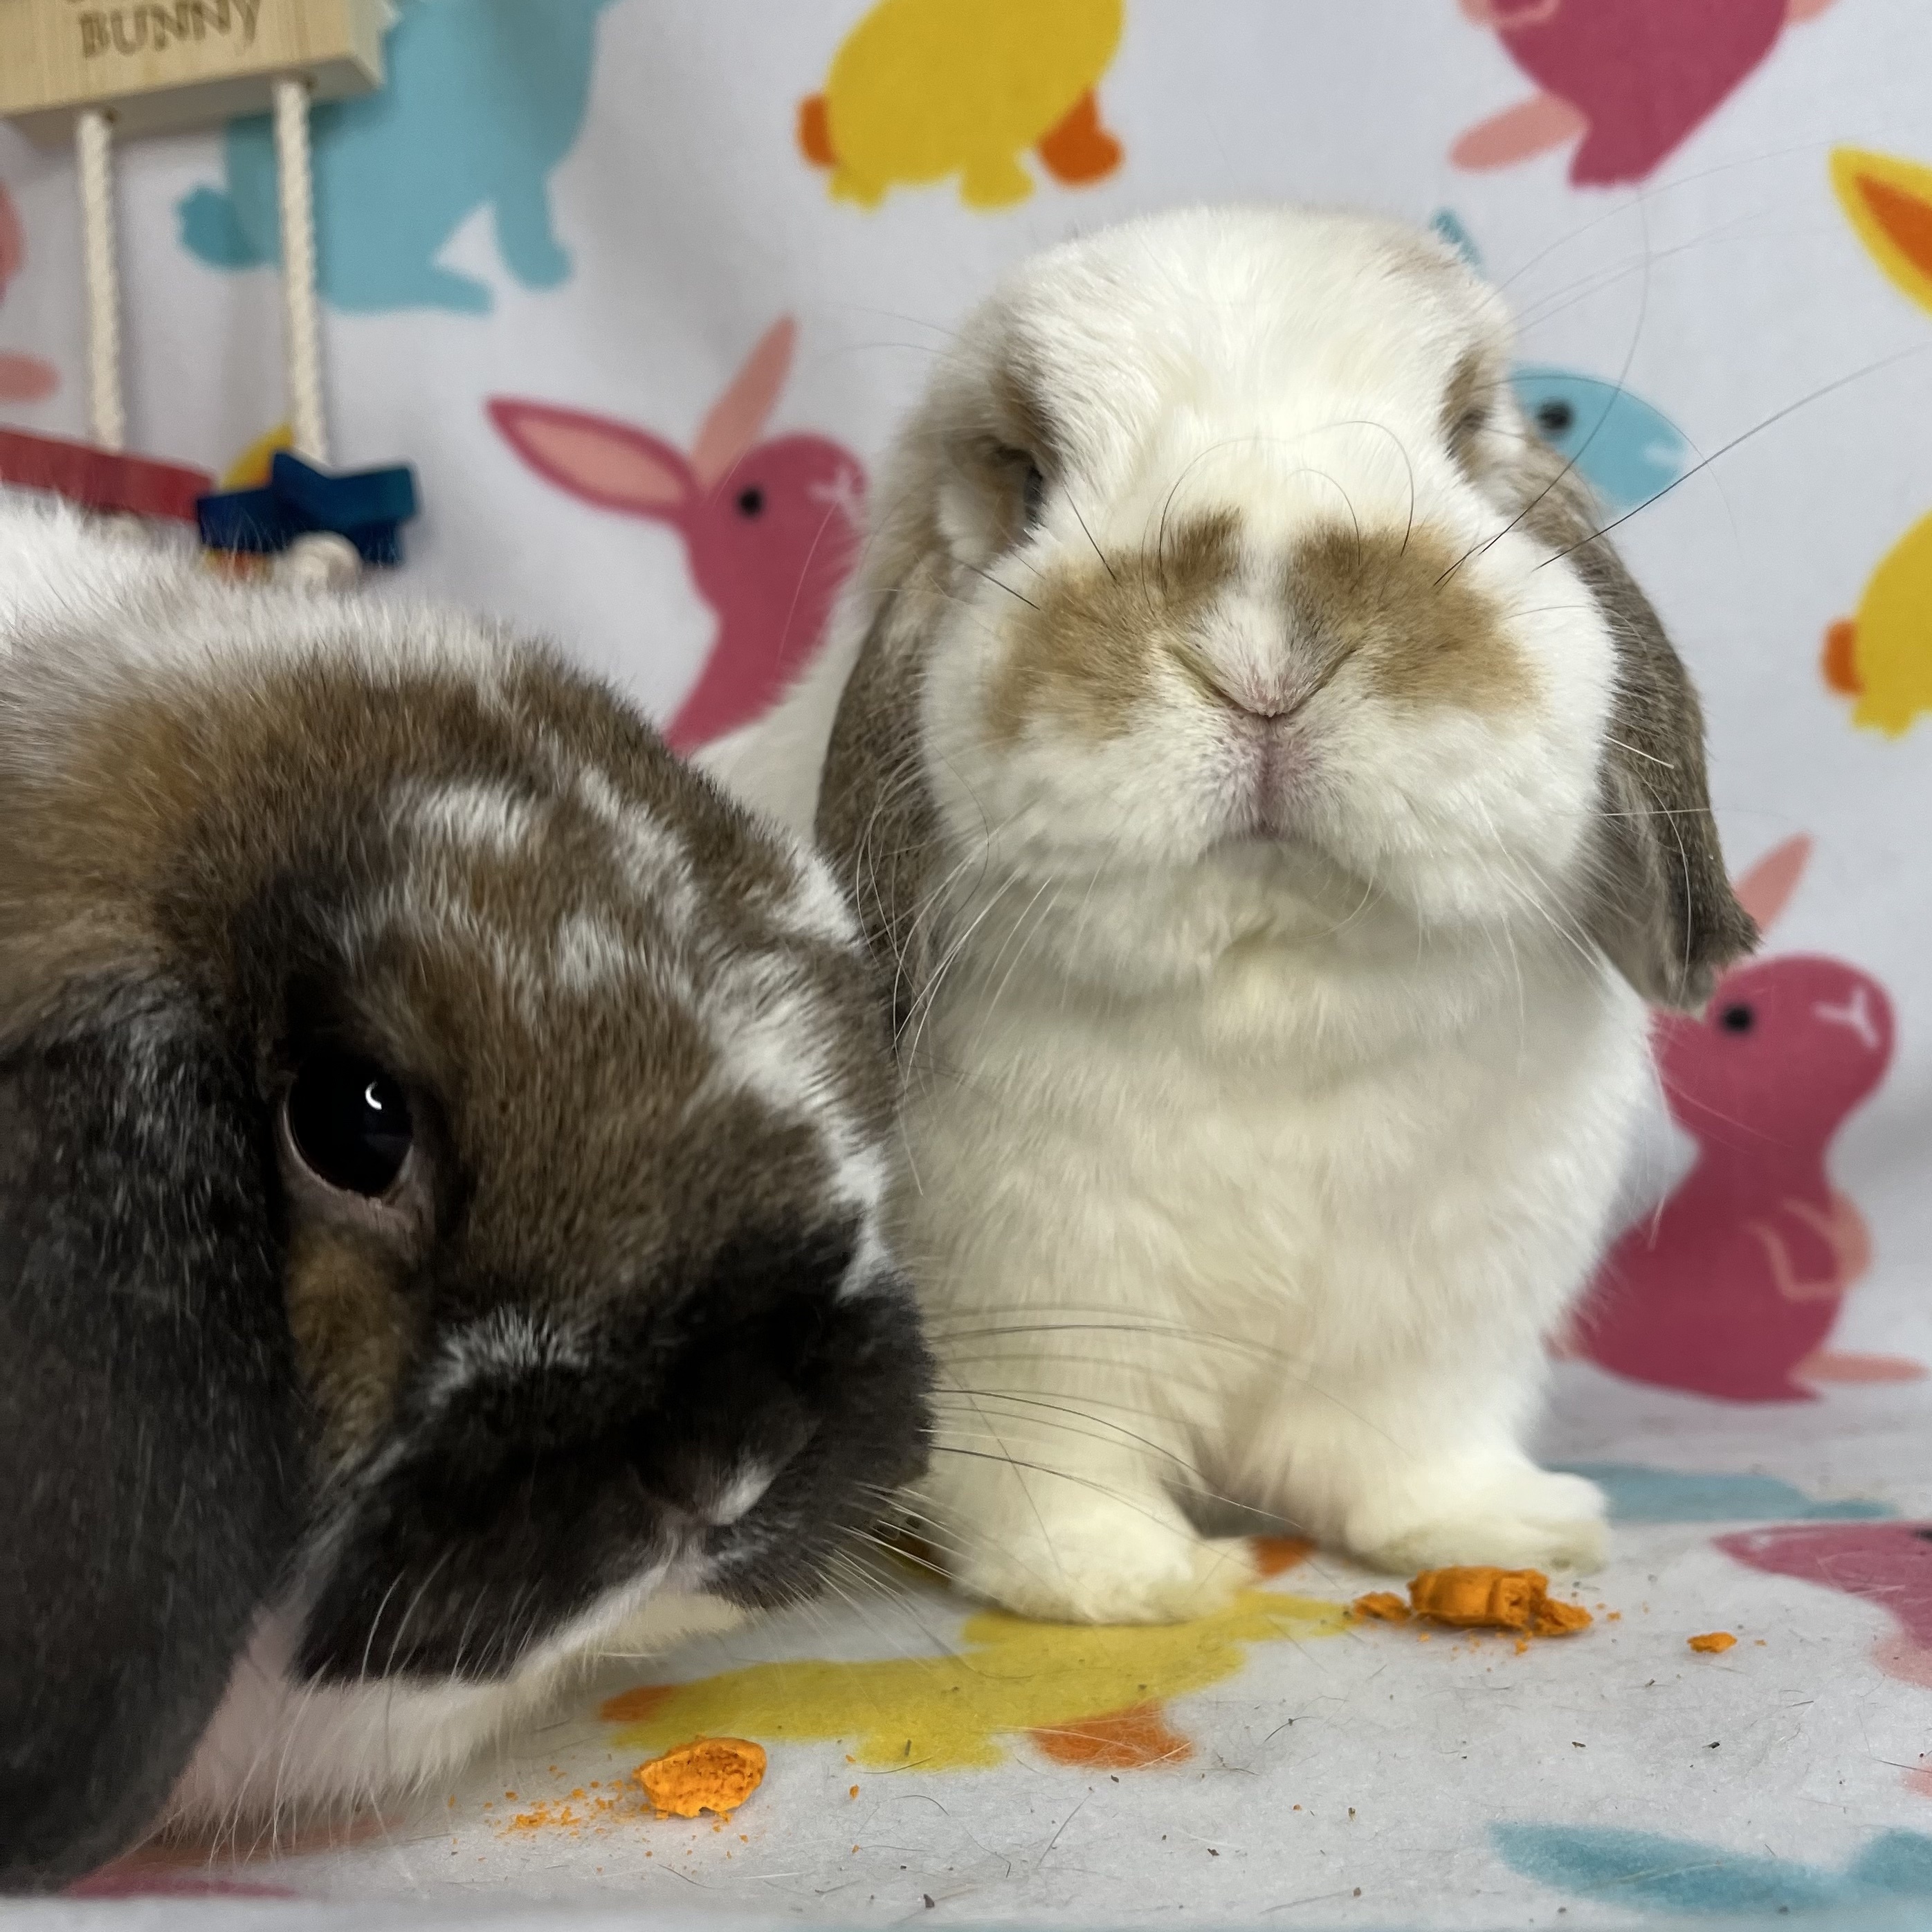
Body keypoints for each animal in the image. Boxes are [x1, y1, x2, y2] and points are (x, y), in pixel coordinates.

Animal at [732, 204, 1756, 1626]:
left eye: (1466, 429)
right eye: (1027, 475)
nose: (1261, 654)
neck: (1274, 991)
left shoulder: (1436, 1332)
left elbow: (1404, 1455)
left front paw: (1507, 1528)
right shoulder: (1027, 1346)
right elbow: (1054, 1479)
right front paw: (1124, 1586)